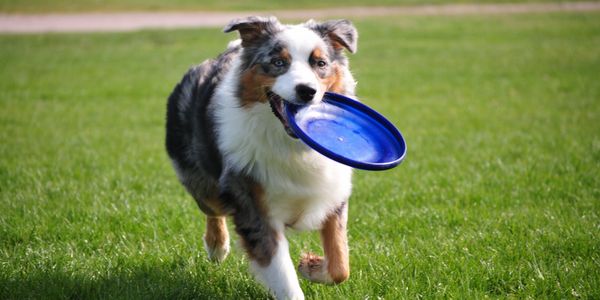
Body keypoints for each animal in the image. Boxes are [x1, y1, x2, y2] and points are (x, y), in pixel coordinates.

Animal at [165, 16, 356, 300]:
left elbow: (340, 265)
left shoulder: (332, 192)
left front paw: (310, 266)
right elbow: (284, 277)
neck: (290, 145)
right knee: (213, 210)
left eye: (320, 63)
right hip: (204, 183)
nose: (307, 91)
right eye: (278, 62)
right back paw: (217, 247)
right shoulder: (254, 207)